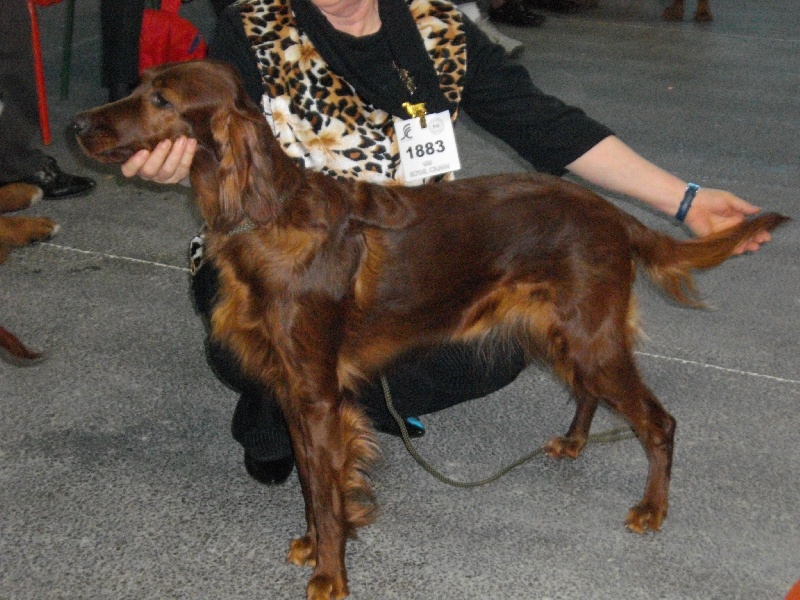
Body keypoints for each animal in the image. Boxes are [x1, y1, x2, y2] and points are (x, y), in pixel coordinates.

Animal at [73, 59, 788, 596]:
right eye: (138, 85)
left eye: (161, 99)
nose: (79, 123)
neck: (267, 216)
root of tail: (611, 212)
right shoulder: (294, 390)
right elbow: (311, 485)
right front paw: (312, 543)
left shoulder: (316, 392)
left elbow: (325, 492)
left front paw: (331, 574)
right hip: (561, 330)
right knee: (589, 391)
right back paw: (573, 443)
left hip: (591, 334)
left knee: (658, 422)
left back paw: (652, 510)